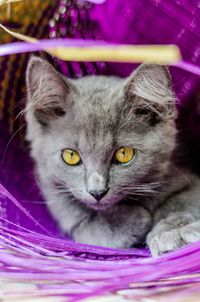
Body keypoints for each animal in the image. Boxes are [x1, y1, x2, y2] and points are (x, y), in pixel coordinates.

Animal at [25, 56, 200, 255]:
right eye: (70, 156)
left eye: (124, 154)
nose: (97, 192)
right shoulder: (59, 204)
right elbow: (87, 229)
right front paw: (133, 217)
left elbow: (179, 203)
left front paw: (172, 233)